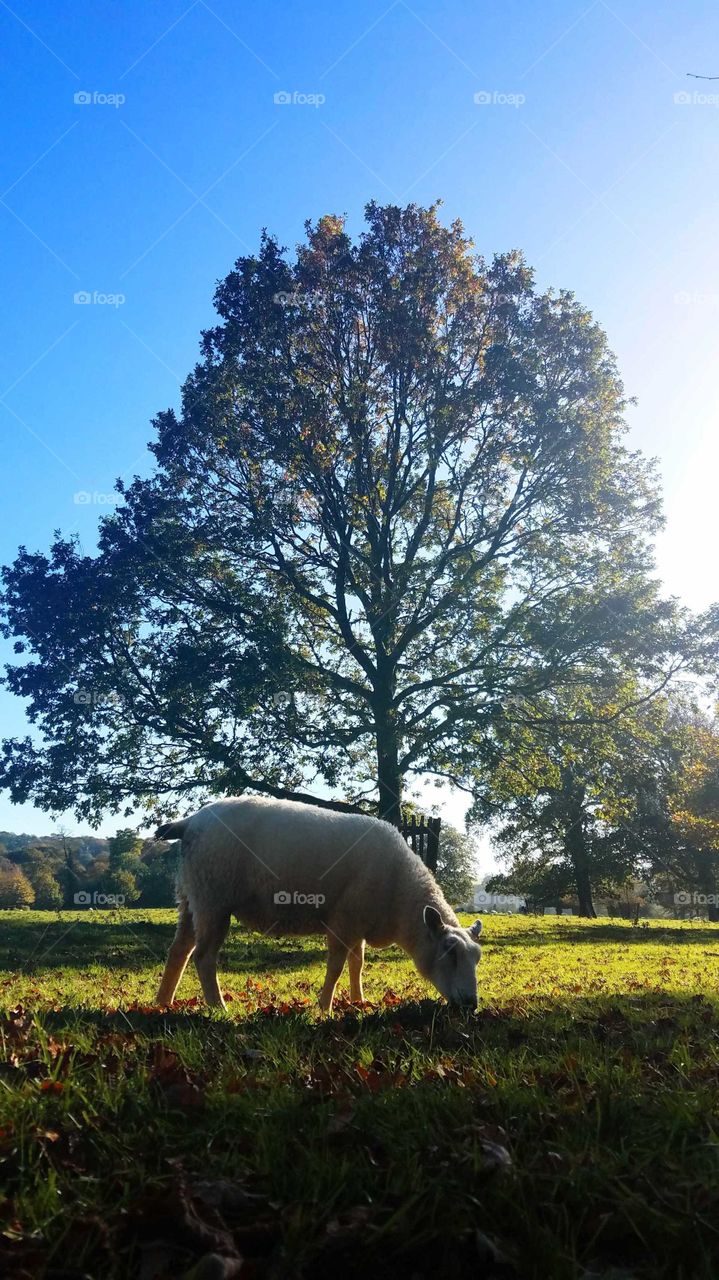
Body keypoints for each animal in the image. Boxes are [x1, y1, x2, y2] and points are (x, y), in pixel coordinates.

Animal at [154, 796, 483, 1013]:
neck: (400, 895)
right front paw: (325, 1007)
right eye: (449, 952)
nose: (471, 1004)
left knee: (178, 950)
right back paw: (218, 1007)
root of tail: (190, 822)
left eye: (477, 958)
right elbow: (336, 966)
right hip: (213, 899)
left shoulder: (358, 922)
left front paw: (359, 1000)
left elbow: (357, 963)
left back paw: (162, 1003)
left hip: (190, 897)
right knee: (203, 957)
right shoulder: (344, 919)